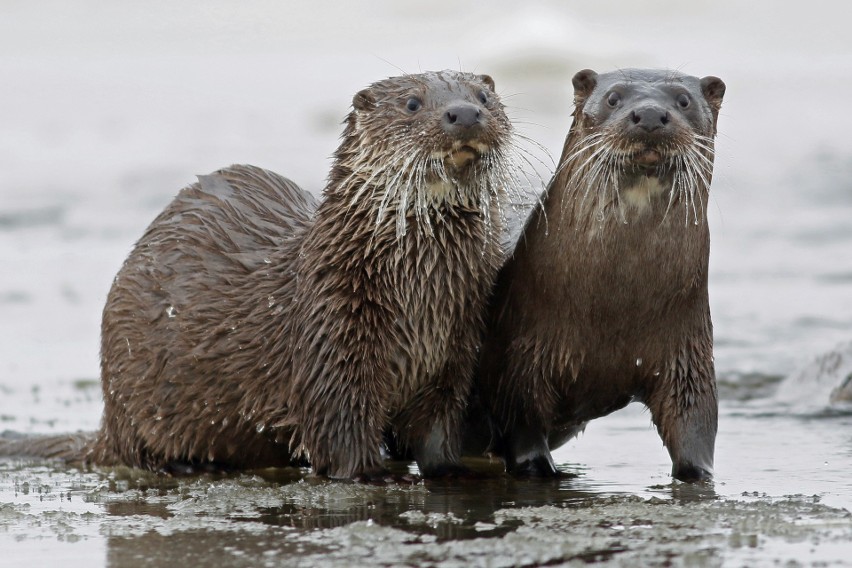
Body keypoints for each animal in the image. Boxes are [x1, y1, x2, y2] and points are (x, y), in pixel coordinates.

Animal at [6, 70, 520, 480]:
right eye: (412, 103)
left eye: (483, 95)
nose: (463, 113)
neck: (420, 300)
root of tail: (108, 420)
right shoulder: (328, 338)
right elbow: (340, 432)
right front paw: (374, 474)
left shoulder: (456, 349)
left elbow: (437, 429)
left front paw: (456, 470)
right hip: (130, 385)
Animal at [472, 69, 724, 482]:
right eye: (614, 98)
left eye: (684, 100)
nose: (650, 114)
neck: (614, 306)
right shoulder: (521, 350)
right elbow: (521, 416)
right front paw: (539, 467)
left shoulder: (687, 352)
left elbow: (696, 421)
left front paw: (697, 473)